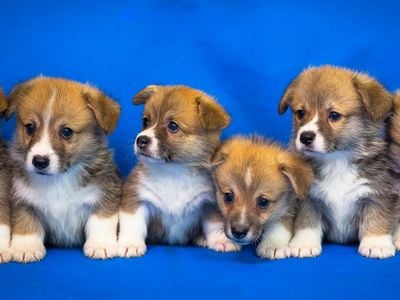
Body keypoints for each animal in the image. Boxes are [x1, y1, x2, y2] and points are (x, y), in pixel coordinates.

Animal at [6, 77, 122, 262]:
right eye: (30, 127)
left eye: (66, 131)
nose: (39, 161)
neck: (58, 179)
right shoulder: (23, 199)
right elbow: (26, 224)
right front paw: (26, 247)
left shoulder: (104, 195)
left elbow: (101, 222)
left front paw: (100, 245)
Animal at [117, 85, 239, 258]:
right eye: (146, 121)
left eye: (173, 126)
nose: (140, 140)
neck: (173, 172)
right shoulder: (136, 199)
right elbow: (133, 224)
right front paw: (130, 244)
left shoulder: (210, 204)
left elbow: (215, 225)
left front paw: (221, 240)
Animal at [278, 65, 396, 258]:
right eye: (300, 113)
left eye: (334, 115)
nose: (305, 137)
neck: (336, 160)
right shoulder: (309, 199)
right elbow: (307, 222)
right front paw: (304, 243)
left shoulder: (377, 194)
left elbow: (376, 218)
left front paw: (376, 244)